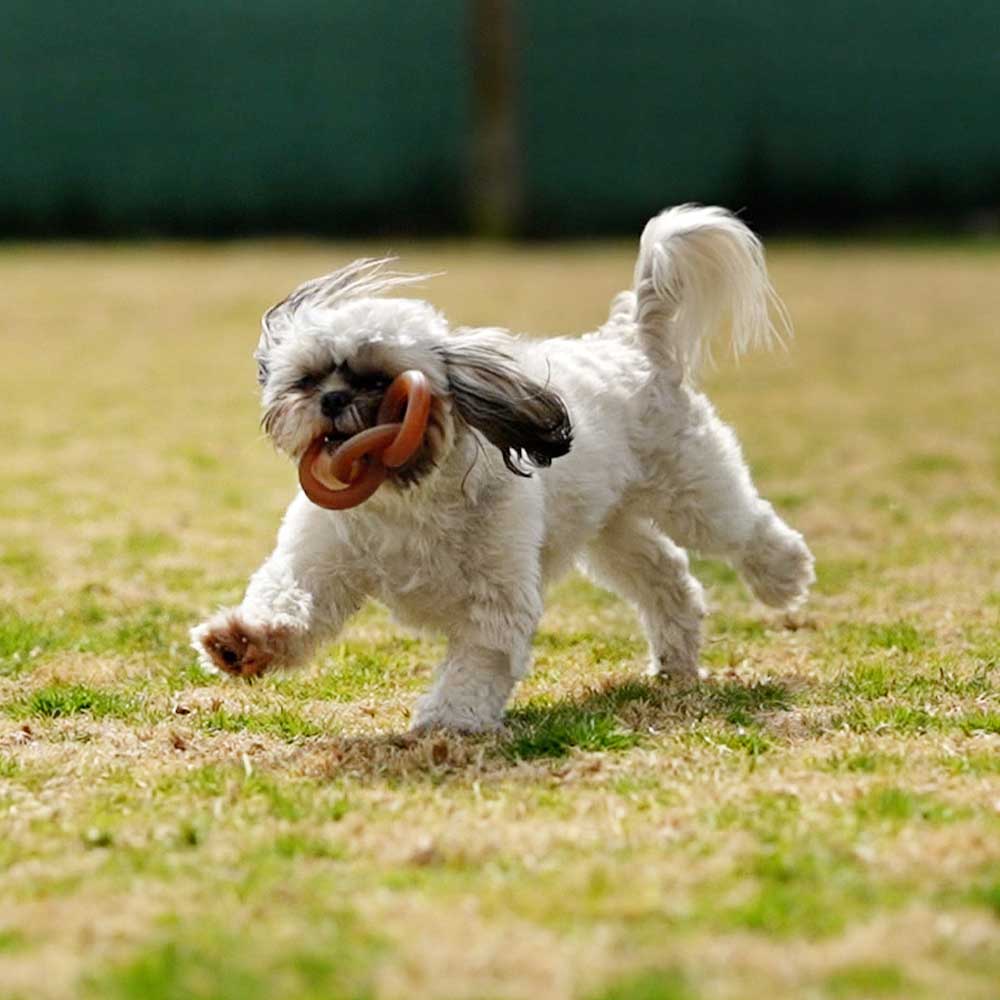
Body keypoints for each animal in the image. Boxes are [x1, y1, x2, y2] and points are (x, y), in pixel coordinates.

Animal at [191, 205, 816, 736]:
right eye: (309, 379)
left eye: (378, 381)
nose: (333, 400)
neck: (408, 497)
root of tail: (630, 342)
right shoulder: (320, 562)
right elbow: (288, 601)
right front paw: (241, 642)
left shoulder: (496, 598)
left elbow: (481, 660)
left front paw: (449, 720)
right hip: (607, 529)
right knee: (667, 576)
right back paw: (675, 661)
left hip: (691, 489)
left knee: (744, 527)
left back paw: (784, 576)